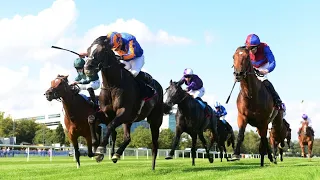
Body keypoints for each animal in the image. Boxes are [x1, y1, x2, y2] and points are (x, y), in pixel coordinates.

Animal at [82, 36, 165, 170]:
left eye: (103, 51)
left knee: (154, 144)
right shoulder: (107, 113)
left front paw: (100, 150)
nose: (87, 67)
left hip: (155, 120)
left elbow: (111, 125)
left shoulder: (123, 112)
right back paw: (116, 154)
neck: (112, 85)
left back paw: (152, 166)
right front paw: (95, 145)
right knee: (127, 138)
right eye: (88, 50)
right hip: (129, 120)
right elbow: (91, 118)